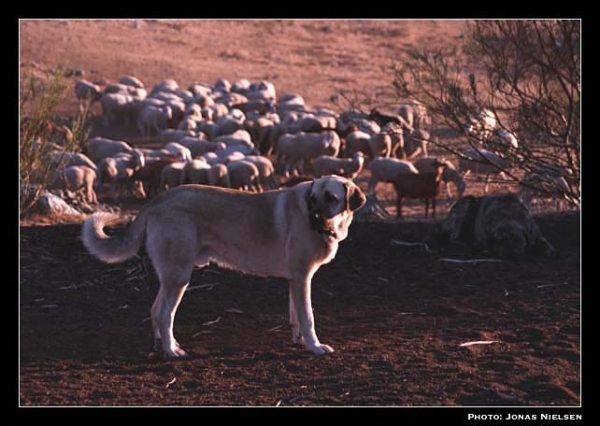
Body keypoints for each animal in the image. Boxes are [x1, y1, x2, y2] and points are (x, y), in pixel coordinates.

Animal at [81, 175, 366, 358]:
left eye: (331, 198)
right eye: (313, 199)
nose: (314, 219)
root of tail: (156, 200)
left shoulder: (295, 280)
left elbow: (296, 315)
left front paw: (299, 341)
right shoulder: (303, 277)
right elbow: (308, 317)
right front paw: (315, 347)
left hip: (171, 275)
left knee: (154, 309)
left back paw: (161, 344)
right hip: (179, 276)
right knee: (164, 313)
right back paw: (172, 351)